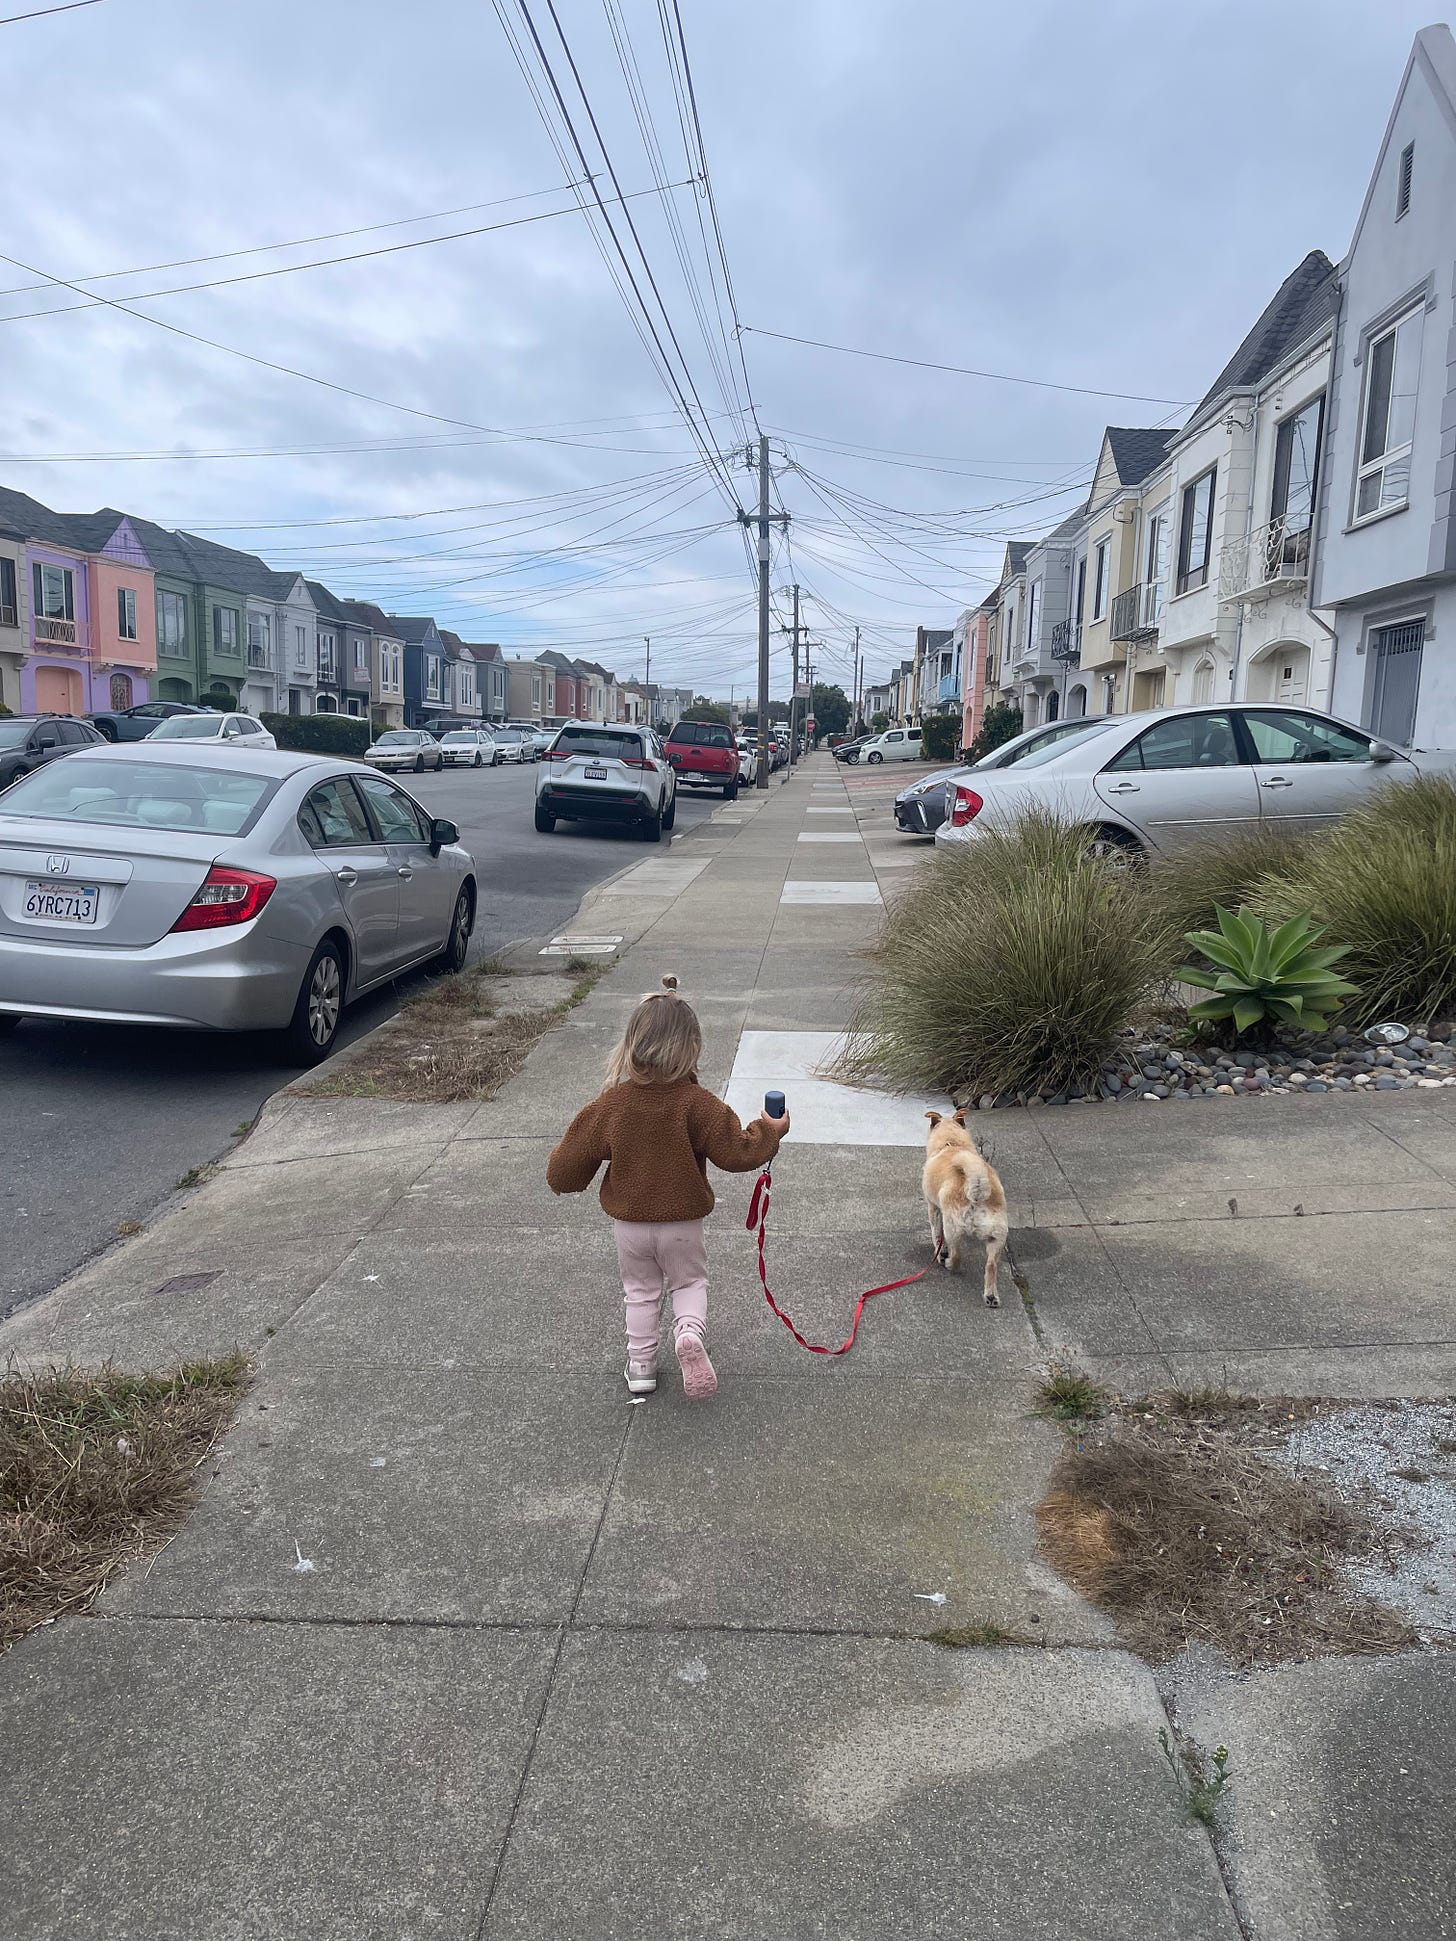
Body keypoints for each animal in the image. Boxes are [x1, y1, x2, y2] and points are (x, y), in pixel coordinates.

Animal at [927, 1110, 1009, 1304]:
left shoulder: (933, 1207)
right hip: (997, 1236)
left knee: (957, 1256)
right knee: (991, 1265)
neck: (951, 1143)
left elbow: (936, 1234)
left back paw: (948, 1263)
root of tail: (977, 1190)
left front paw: (939, 1252)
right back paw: (991, 1296)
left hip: (953, 1228)